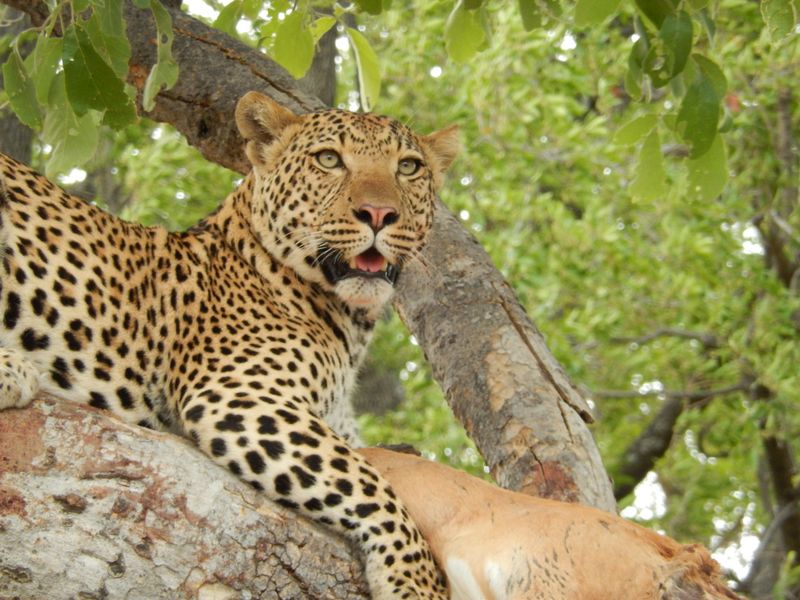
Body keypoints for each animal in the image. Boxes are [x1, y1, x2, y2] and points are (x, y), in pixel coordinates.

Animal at [0, 91, 459, 599]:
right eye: (329, 160)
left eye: (409, 167)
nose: (379, 214)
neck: (349, 323)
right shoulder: (239, 394)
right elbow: (369, 484)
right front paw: (416, 582)